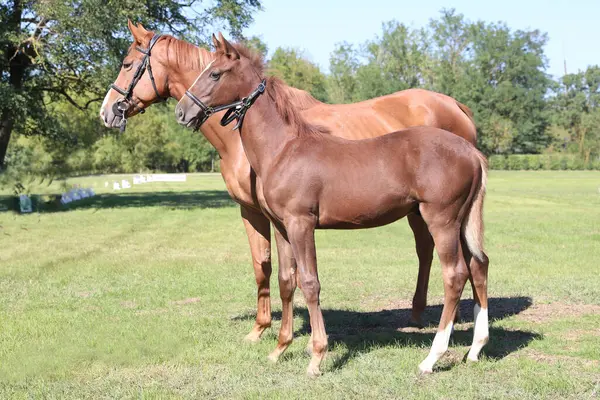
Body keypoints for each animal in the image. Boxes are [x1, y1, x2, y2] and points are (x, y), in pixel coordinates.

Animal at [99, 22, 478, 340]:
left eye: (128, 64)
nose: (108, 112)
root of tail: (455, 106)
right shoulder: (262, 214)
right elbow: (271, 268)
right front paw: (269, 329)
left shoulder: (260, 213)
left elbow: (267, 266)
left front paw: (264, 328)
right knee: (440, 253)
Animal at [175, 33, 492, 376]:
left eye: (214, 74)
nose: (181, 111)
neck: (283, 149)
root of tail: (471, 152)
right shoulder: (281, 227)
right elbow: (287, 281)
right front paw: (279, 349)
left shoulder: (301, 224)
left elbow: (310, 283)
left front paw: (316, 356)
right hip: (462, 222)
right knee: (478, 265)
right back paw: (476, 348)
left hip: (442, 220)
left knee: (455, 274)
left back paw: (432, 358)